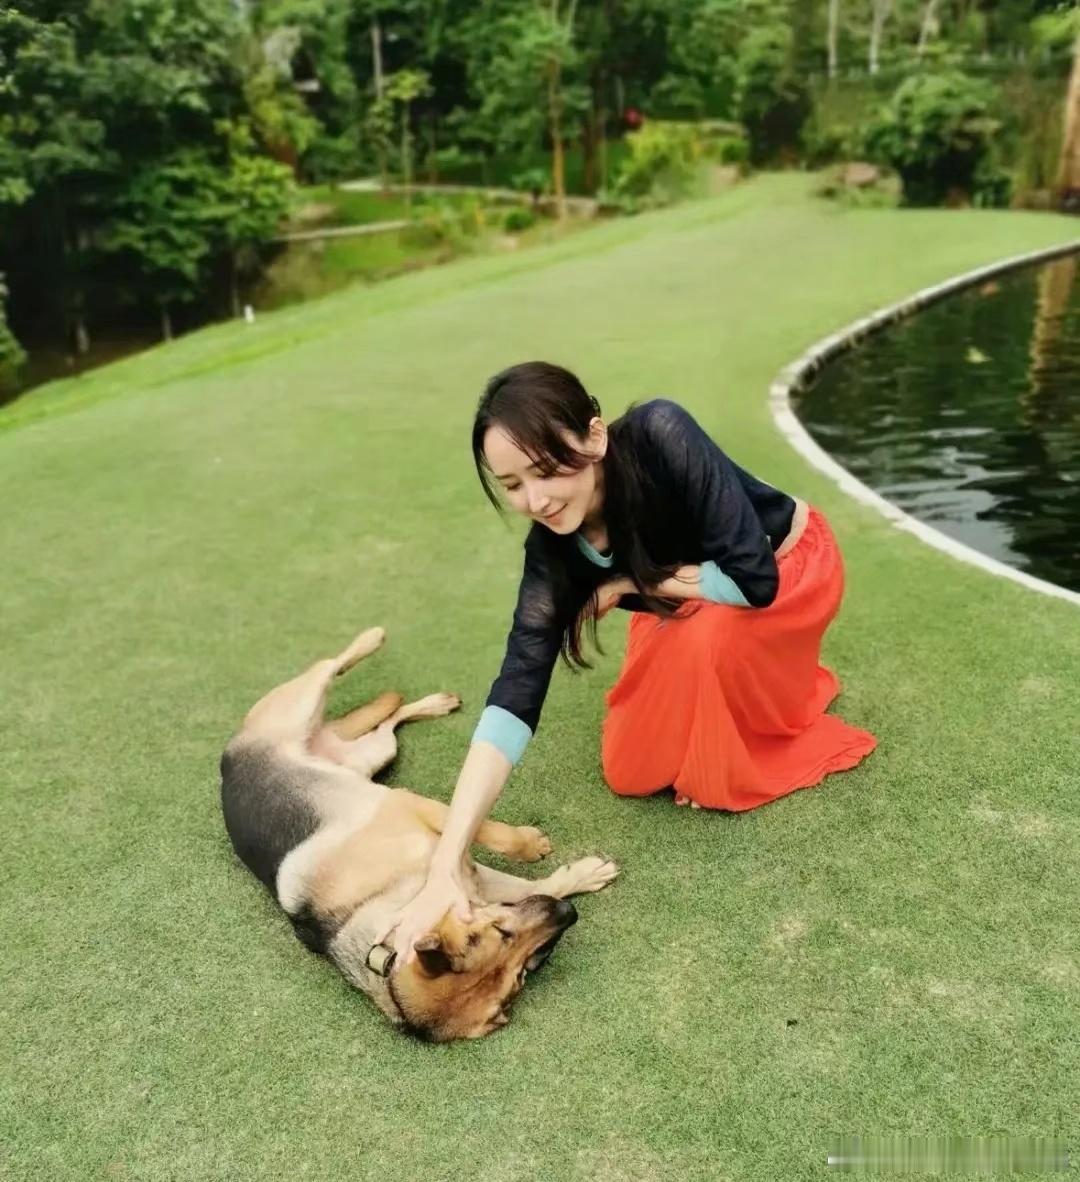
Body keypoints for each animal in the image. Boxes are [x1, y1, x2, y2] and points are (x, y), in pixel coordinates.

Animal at [218, 624, 619, 1040]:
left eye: (502, 933)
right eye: (521, 972)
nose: (569, 914)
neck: (394, 914)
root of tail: (227, 763)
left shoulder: (415, 809)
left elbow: (496, 837)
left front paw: (536, 849)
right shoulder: (464, 872)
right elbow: (534, 884)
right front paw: (576, 875)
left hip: (343, 731)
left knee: (342, 674)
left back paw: (387, 654)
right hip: (368, 746)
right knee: (366, 700)